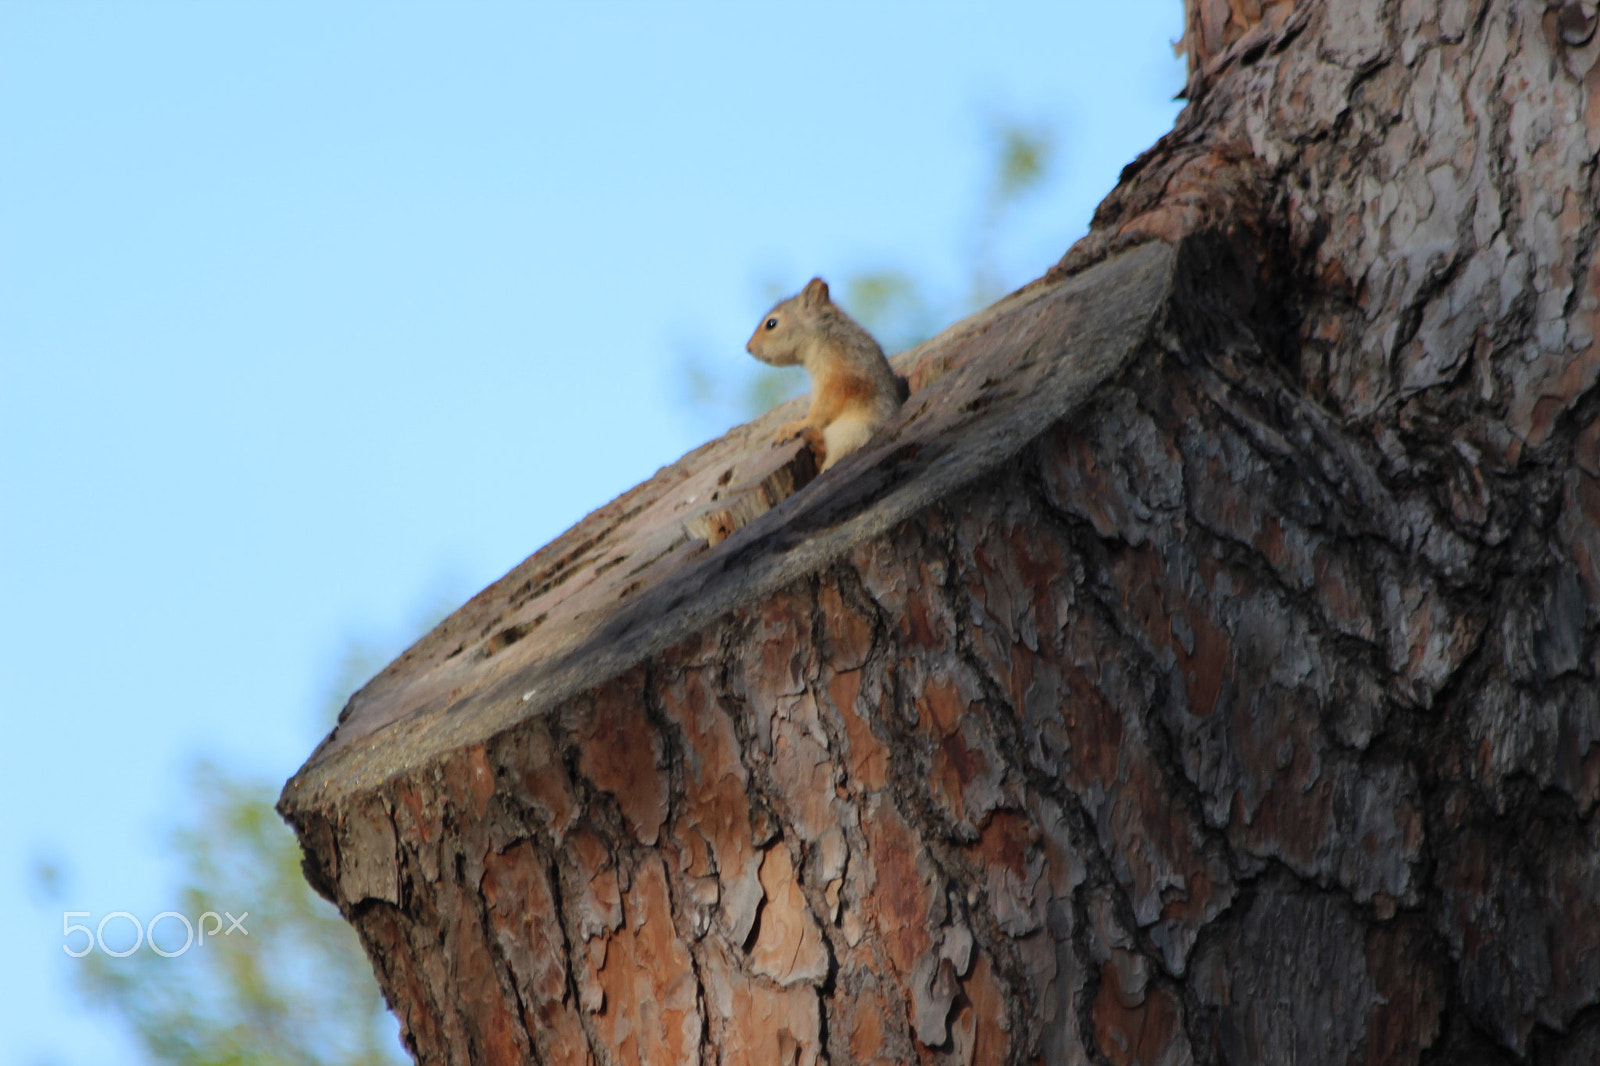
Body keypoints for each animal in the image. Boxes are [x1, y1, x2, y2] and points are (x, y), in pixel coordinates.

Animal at [742, 275, 908, 470]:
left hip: (851, 434)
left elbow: (823, 409)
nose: (748, 348)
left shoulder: (840, 374)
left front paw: (796, 425)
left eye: (771, 323)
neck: (824, 337)